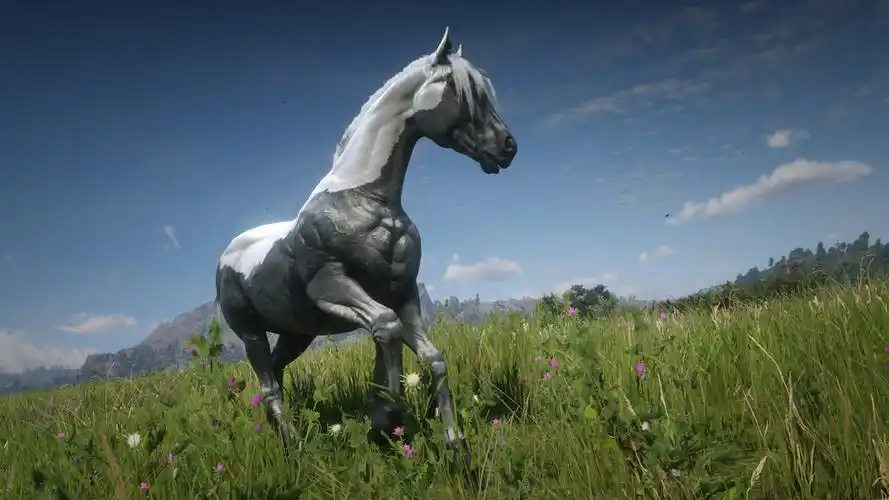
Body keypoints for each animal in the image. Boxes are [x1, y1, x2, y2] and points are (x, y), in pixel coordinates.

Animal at [215, 27, 516, 467]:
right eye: (461, 91)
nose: (507, 147)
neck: (364, 199)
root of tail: (227, 256)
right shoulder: (333, 286)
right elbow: (386, 330)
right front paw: (384, 419)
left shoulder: (403, 295)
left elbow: (432, 358)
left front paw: (455, 445)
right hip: (251, 332)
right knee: (269, 387)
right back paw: (295, 451)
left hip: (295, 334)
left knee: (276, 377)